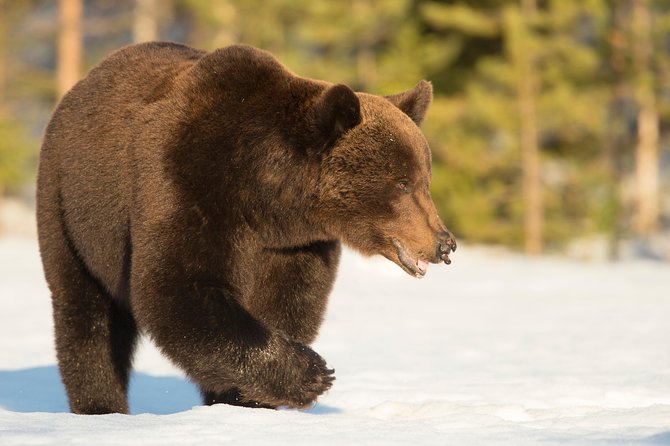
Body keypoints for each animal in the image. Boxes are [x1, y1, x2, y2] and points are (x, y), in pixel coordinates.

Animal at [36, 42, 456, 415]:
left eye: (425, 180)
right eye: (402, 183)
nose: (444, 243)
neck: (266, 196)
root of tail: (83, 83)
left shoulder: (294, 244)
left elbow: (287, 301)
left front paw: (247, 400)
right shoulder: (187, 186)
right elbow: (177, 287)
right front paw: (313, 373)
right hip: (73, 212)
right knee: (86, 317)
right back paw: (101, 406)